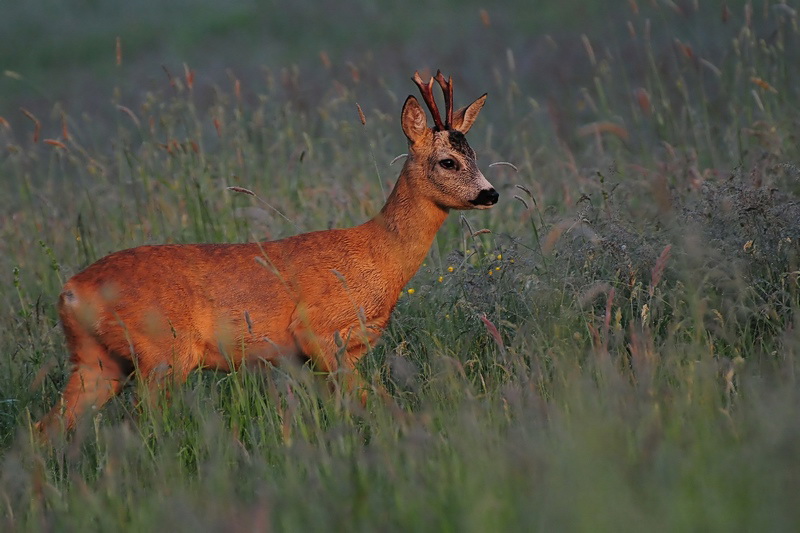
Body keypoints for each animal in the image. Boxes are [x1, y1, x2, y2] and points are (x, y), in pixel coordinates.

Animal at [39, 70, 500, 434]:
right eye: (448, 161)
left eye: (475, 155)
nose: (490, 193)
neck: (379, 255)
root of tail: (72, 291)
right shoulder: (319, 331)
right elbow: (372, 403)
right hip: (163, 353)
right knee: (138, 422)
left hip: (97, 361)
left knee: (45, 429)